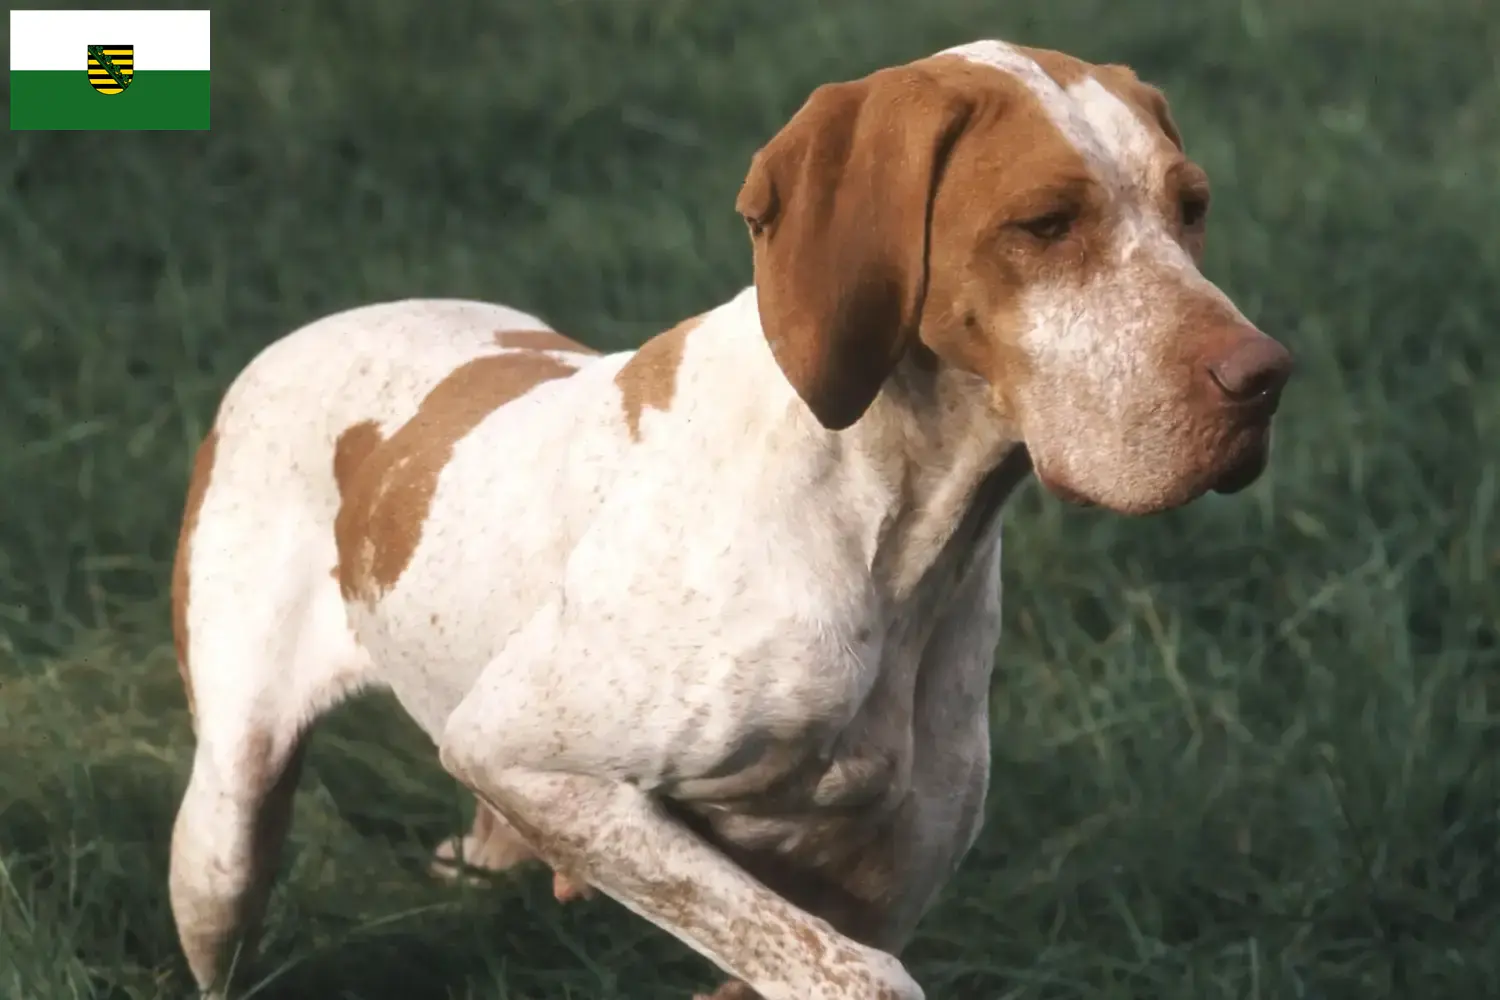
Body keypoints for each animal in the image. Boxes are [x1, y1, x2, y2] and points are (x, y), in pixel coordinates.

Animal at [164, 37, 1290, 1000]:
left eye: (1191, 208)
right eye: (1045, 223)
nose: (1266, 379)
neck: (886, 527)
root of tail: (300, 334)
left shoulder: (881, 876)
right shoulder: (526, 755)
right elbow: (858, 972)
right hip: (223, 843)